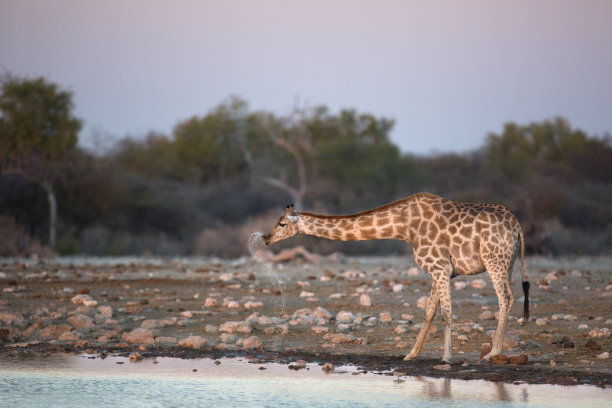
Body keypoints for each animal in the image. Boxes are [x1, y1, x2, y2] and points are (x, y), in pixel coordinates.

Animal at [260, 193, 528, 362]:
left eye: (282, 224)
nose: (266, 238)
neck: (405, 228)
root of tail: (517, 225)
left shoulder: (439, 267)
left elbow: (446, 314)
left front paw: (446, 357)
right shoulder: (440, 270)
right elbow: (429, 313)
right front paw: (411, 354)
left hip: (494, 260)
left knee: (504, 299)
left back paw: (493, 353)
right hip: (508, 262)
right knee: (511, 297)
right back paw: (496, 351)